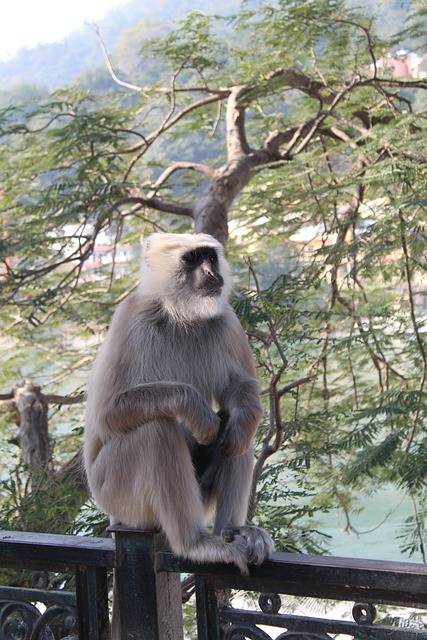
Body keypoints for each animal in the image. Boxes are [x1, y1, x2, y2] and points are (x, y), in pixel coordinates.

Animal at [83, 232, 274, 576]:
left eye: (210, 258)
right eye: (191, 259)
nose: (211, 274)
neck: (180, 314)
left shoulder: (226, 319)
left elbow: (240, 388)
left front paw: (238, 417)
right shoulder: (132, 317)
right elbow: (106, 415)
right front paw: (195, 409)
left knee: (237, 429)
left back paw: (232, 531)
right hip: (116, 493)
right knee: (156, 430)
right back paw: (195, 543)